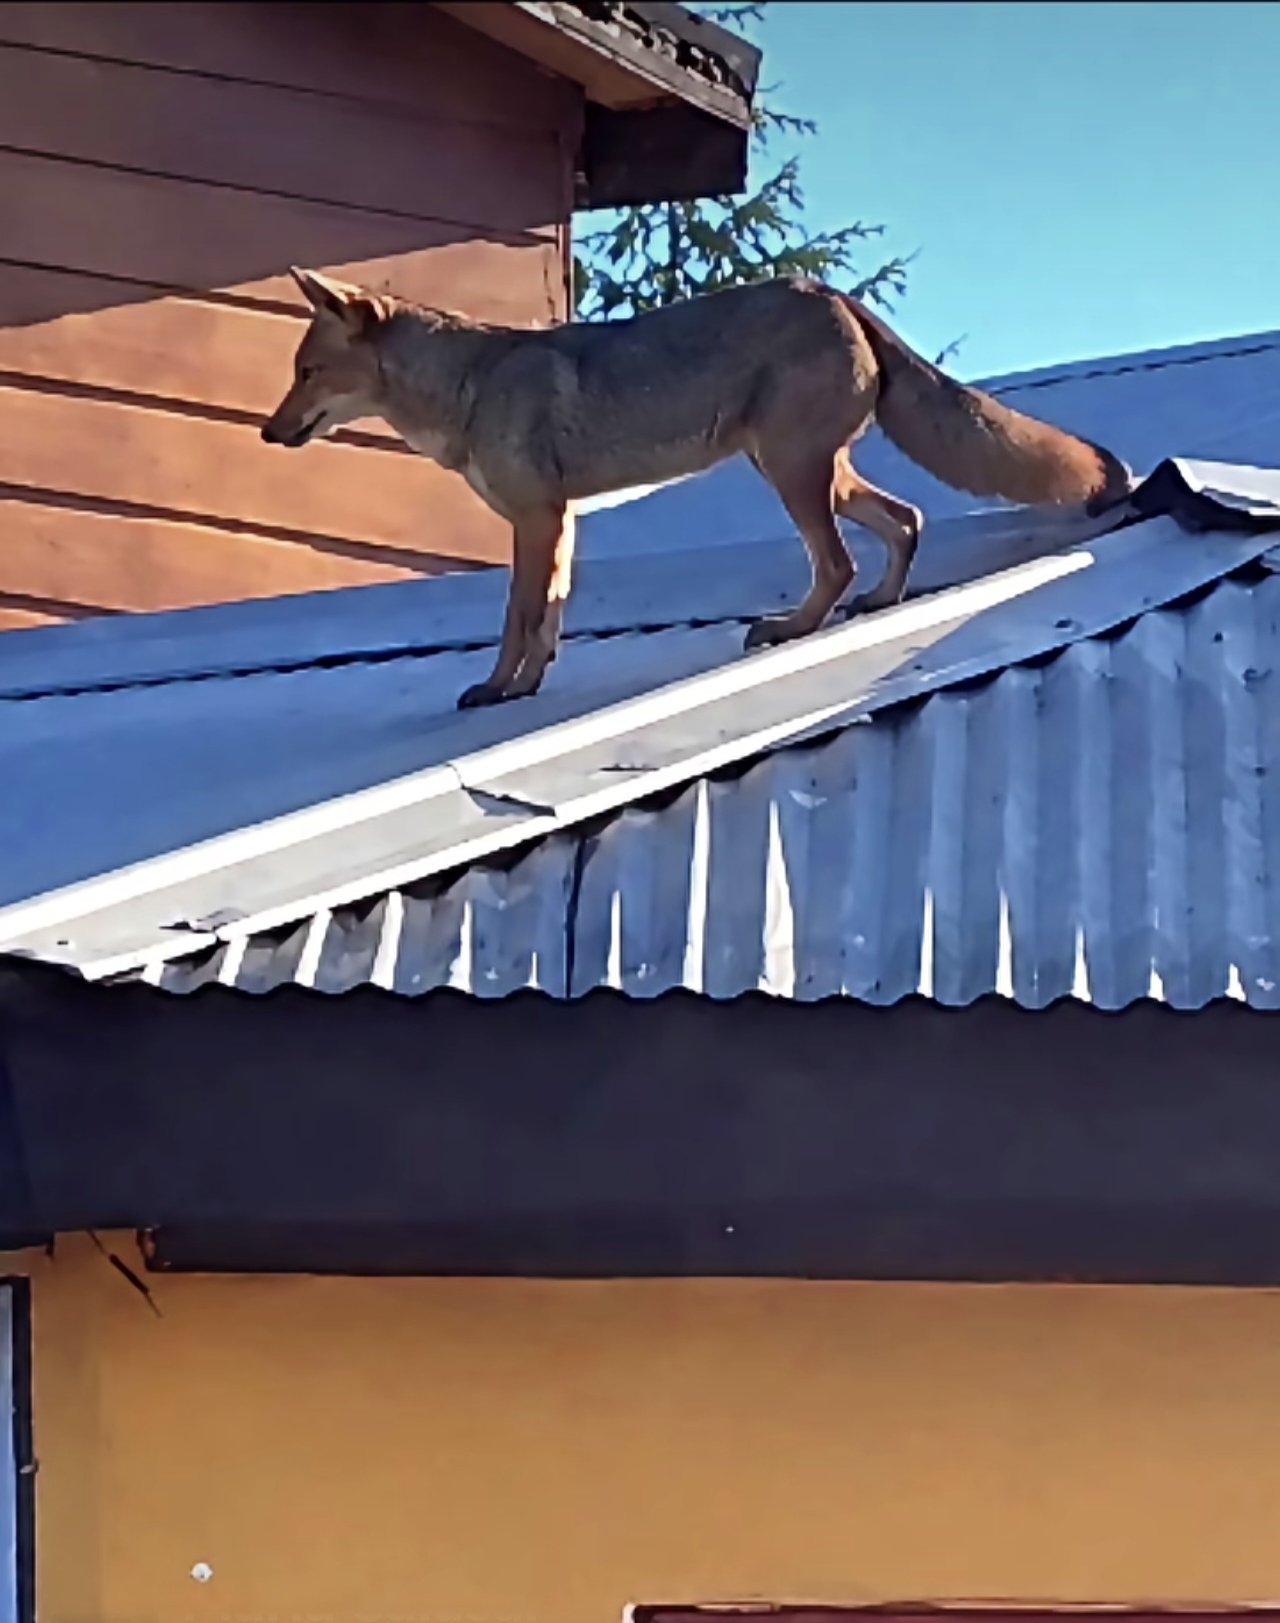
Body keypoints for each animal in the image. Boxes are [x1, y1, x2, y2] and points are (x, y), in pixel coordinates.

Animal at [262, 268, 1133, 710]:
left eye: (306, 372)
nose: (269, 433)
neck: (468, 388)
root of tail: (832, 291)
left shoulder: (535, 520)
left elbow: (517, 620)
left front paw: (497, 688)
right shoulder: (559, 522)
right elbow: (548, 622)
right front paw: (529, 687)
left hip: (789, 472)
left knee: (840, 560)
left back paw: (791, 629)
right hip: (813, 472)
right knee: (905, 521)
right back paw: (876, 605)